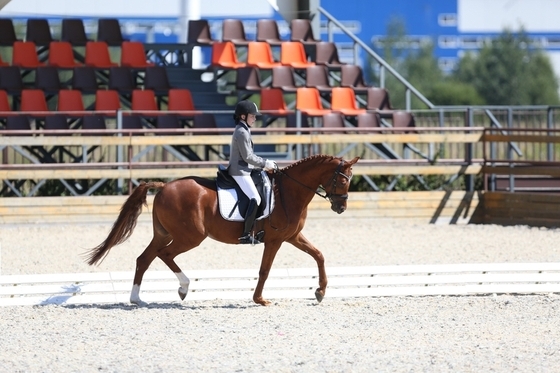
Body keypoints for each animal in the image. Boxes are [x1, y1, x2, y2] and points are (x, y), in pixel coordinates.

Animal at [86, 154, 360, 306]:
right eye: (342, 180)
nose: (341, 207)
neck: (289, 191)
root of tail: (164, 186)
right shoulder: (275, 240)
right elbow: (264, 270)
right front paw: (260, 299)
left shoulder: (292, 236)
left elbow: (319, 255)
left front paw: (320, 292)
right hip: (190, 237)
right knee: (165, 255)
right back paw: (183, 288)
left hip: (164, 234)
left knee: (144, 259)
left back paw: (136, 299)